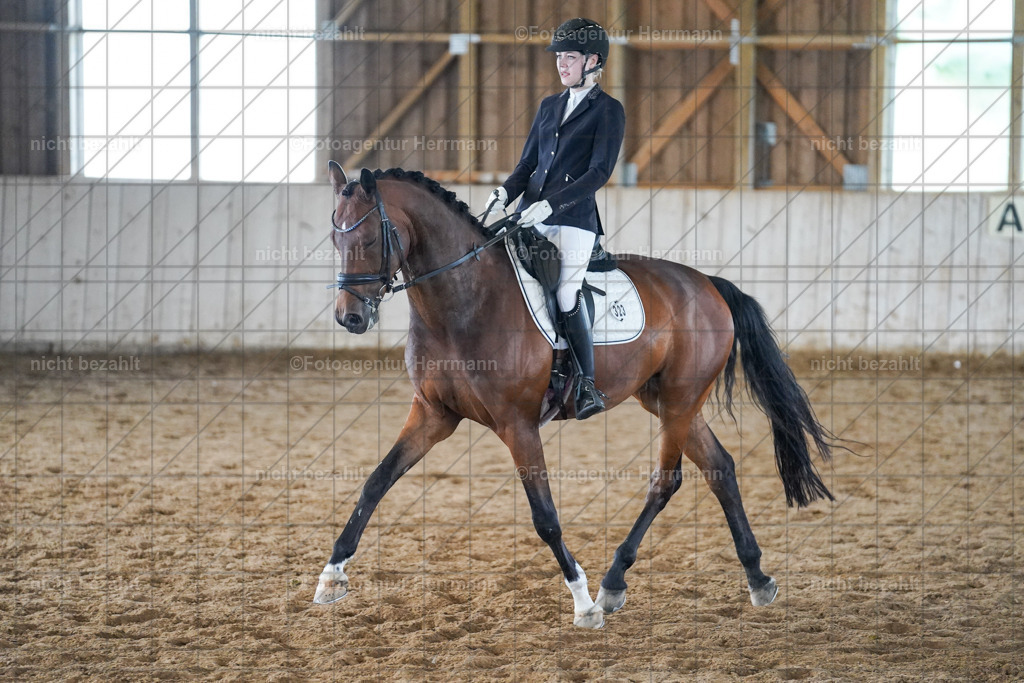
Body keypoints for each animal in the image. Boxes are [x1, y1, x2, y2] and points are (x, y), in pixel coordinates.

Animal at [313, 164, 835, 629]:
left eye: (368, 240)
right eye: (335, 240)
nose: (349, 318)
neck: (463, 300)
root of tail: (709, 284)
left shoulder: (517, 425)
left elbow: (545, 517)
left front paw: (582, 603)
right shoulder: (432, 414)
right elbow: (376, 482)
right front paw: (331, 576)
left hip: (680, 401)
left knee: (667, 481)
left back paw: (610, 585)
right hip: (665, 401)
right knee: (719, 468)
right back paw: (756, 578)